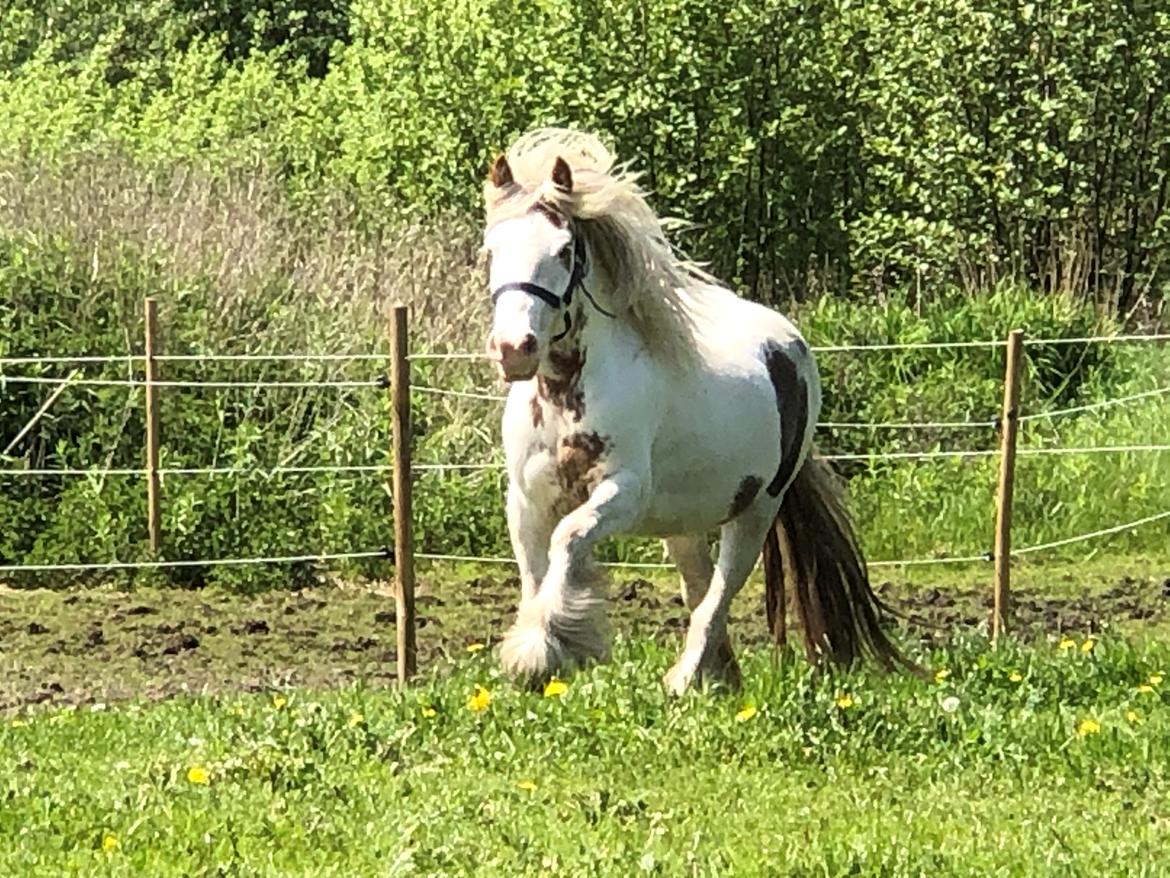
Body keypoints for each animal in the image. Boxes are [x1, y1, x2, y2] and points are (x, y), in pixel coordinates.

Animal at [479, 130, 898, 693]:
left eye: (565, 250)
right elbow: (534, 572)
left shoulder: (624, 492)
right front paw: (540, 648)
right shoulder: (525, 498)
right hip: (682, 524)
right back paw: (720, 679)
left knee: (719, 595)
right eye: (492, 249)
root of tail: (789, 346)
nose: (513, 349)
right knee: (699, 588)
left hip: (755, 512)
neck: (568, 395)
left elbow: (569, 540)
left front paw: (548, 649)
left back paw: (685, 679)